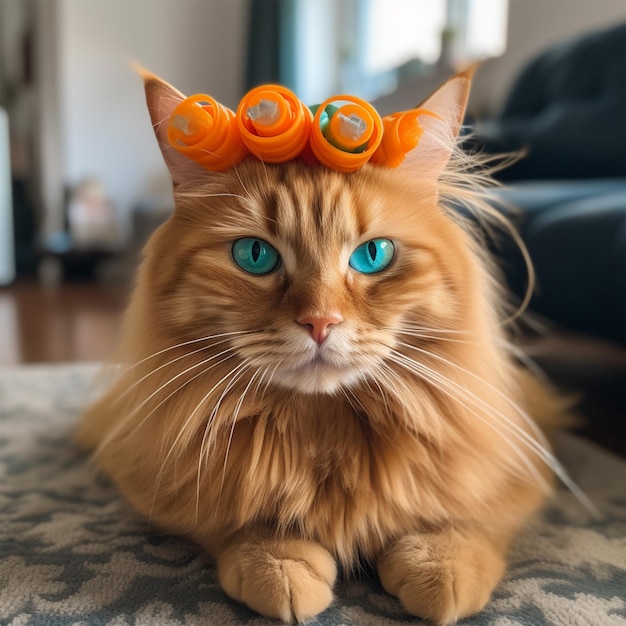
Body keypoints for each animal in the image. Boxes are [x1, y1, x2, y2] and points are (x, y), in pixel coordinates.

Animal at [75, 70, 564, 620]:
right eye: (255, 255)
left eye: (373, 255)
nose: (320, 322)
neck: (325, 430)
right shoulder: (155, 474)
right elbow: (235, 516)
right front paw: (278, 563)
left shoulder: (511, 465)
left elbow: (467, 515)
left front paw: (440, 565)